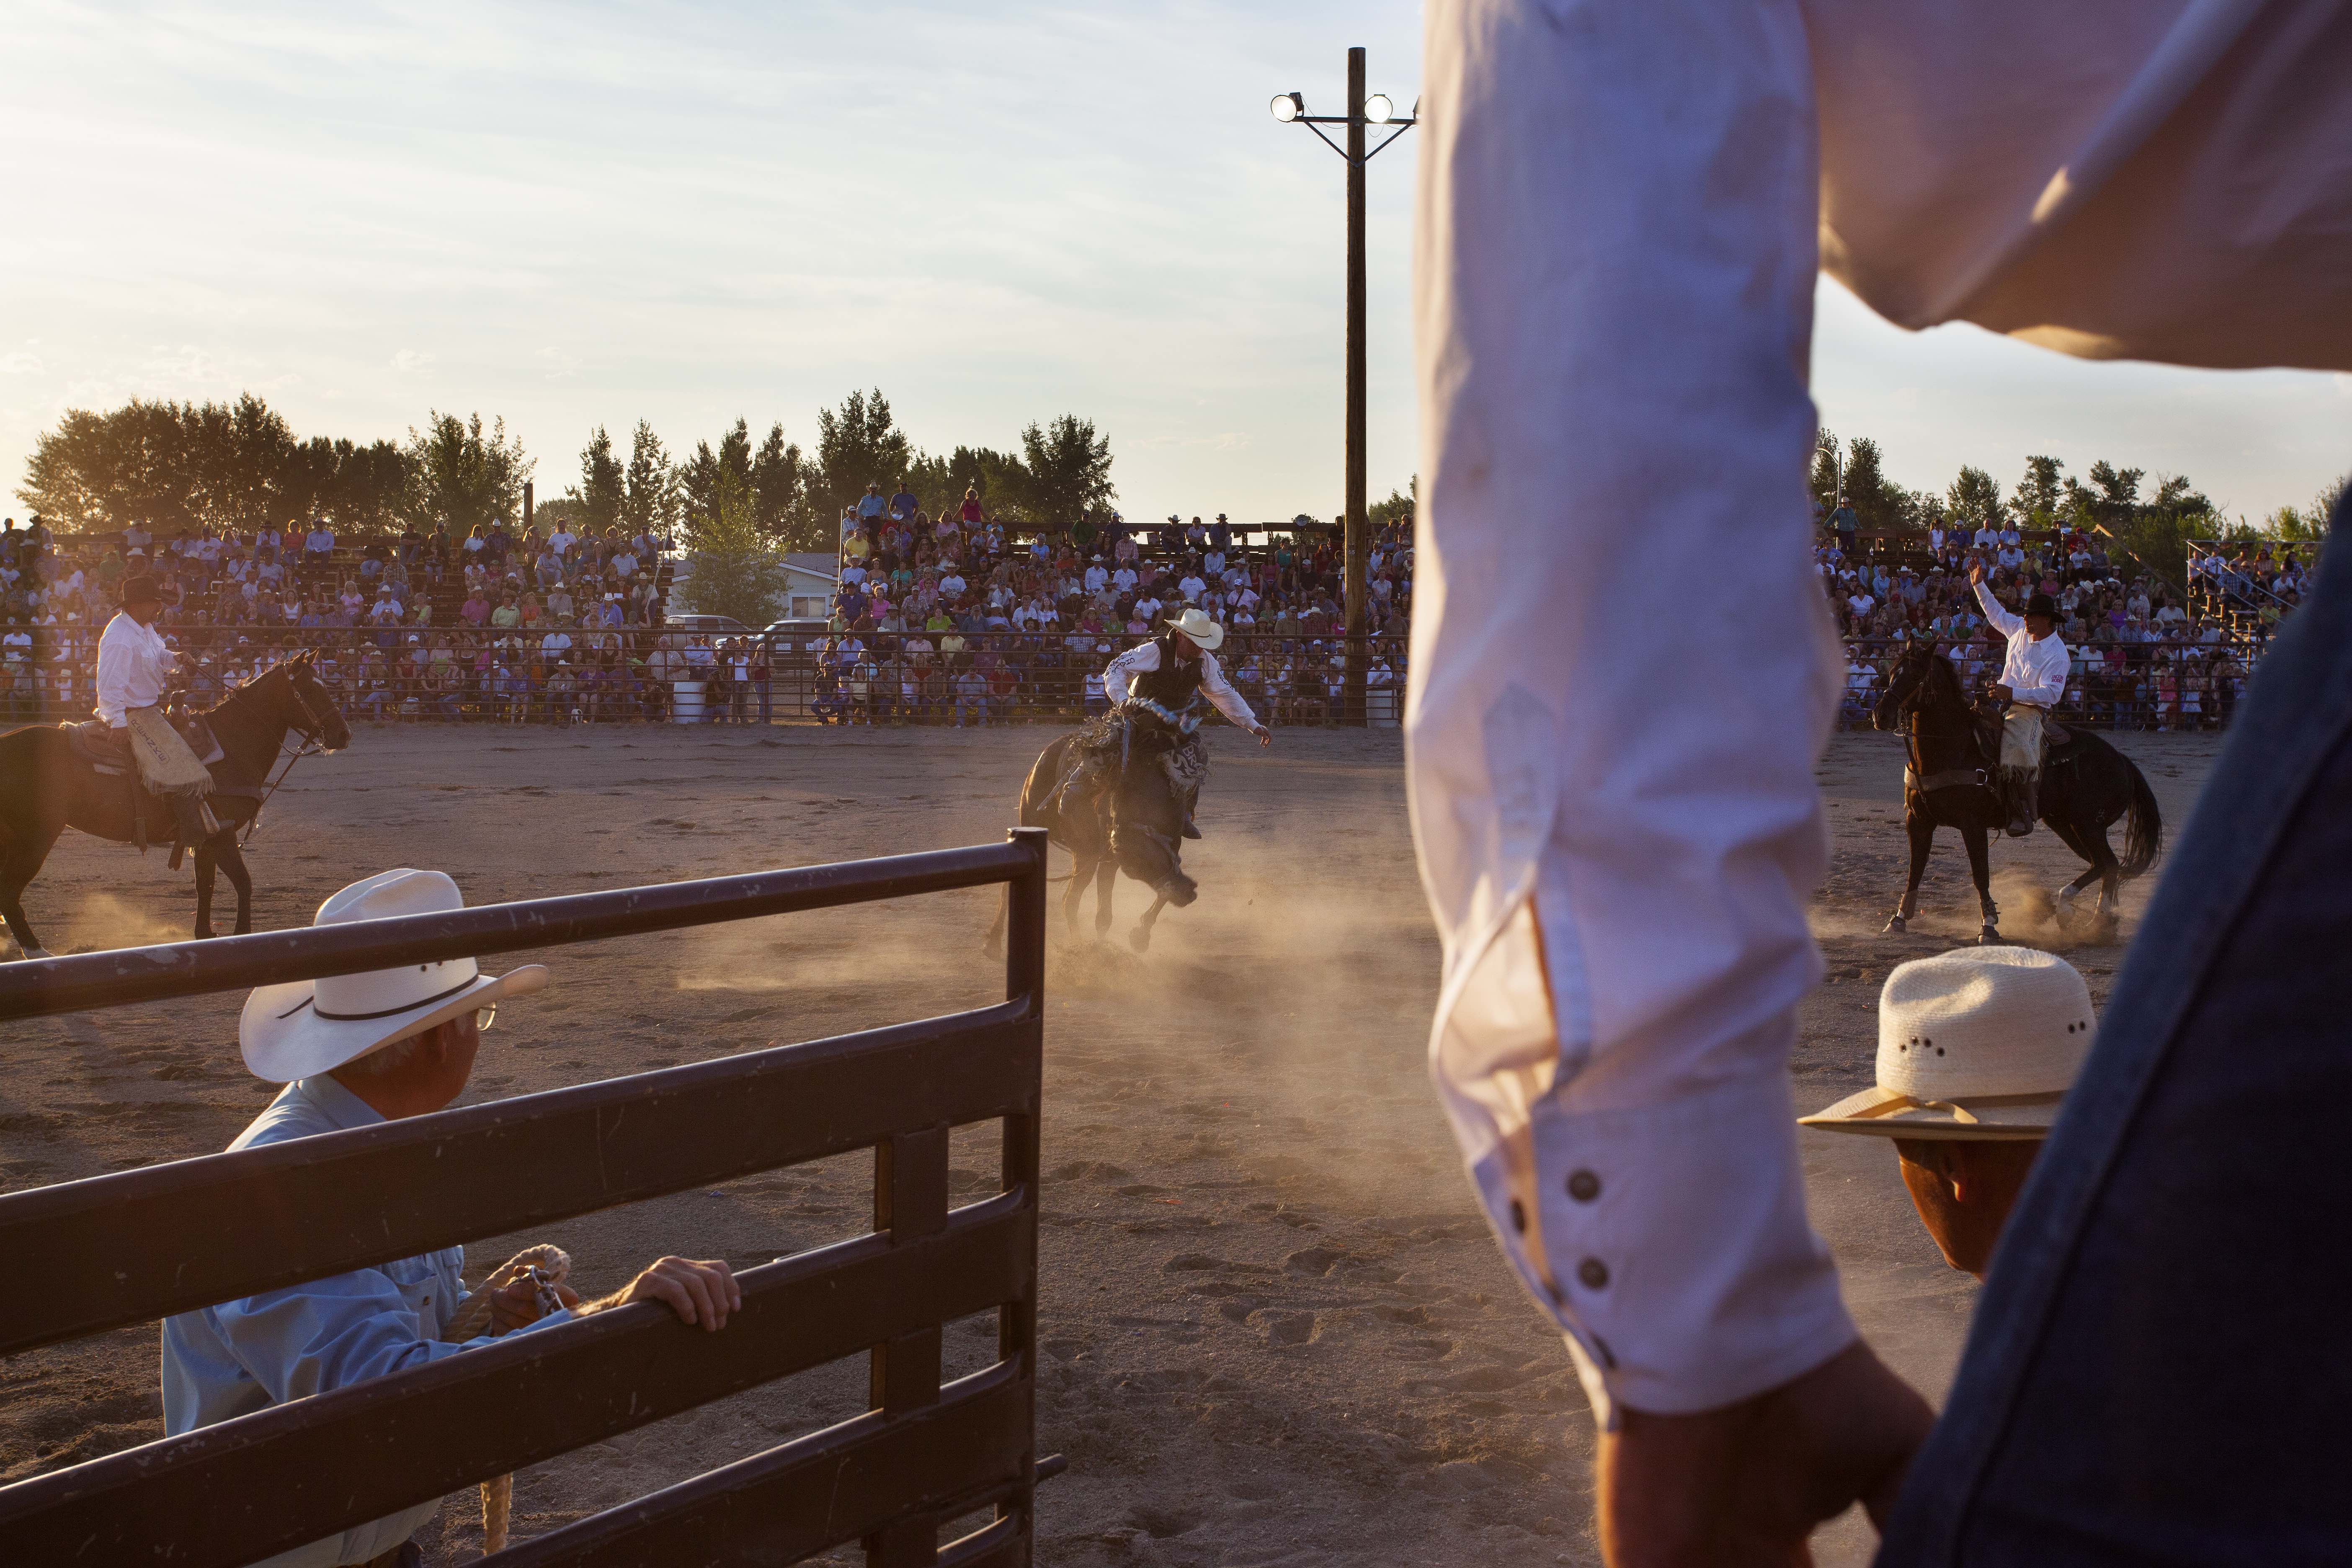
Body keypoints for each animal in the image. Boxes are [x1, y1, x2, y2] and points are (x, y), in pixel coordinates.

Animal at [0, 649, 353, 959]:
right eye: (309, 689)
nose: (344, 735)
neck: (232, 744)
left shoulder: (205, 834)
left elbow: (206, 885)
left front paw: (205, 934)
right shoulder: (222, 832)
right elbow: (243, 882)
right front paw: (241, 934)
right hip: (37, 837)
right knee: (10, 894)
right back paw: (36, 952)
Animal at [983, 700, 1194, 959]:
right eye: (1138, 866)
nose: (1189, 893)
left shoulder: (1133, 853)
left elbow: (1110, 912)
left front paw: (1138, 937)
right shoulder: (1102, 856)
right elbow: (1087, 906)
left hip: (1086, 854)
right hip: (1053, 836)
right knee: (1052, 895)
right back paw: (996, 942)